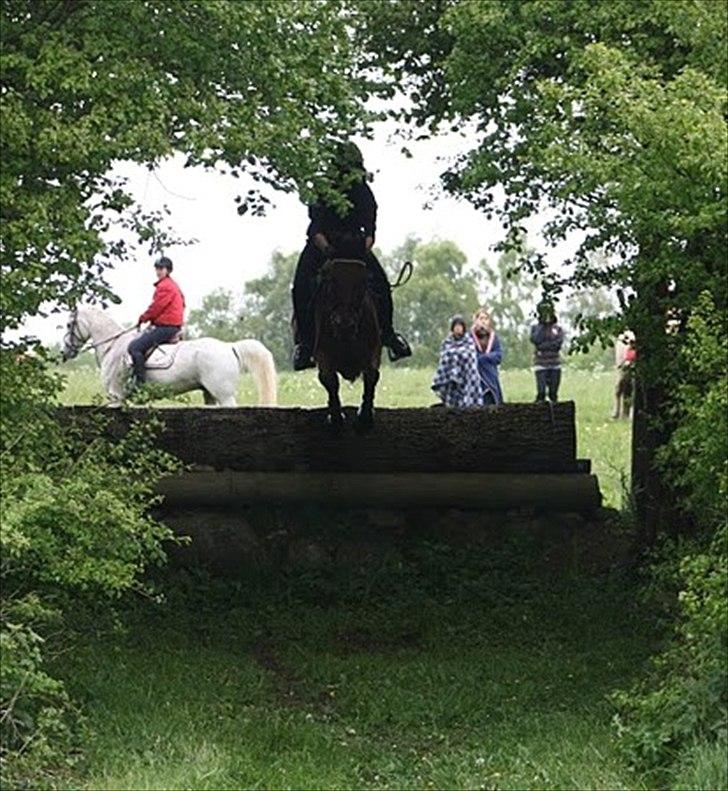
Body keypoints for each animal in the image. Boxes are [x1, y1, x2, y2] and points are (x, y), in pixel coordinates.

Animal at [62, 308, 278, 408]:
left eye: (68, 325)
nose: (65, 352)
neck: (112, 345)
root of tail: (229, 346)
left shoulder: (115, 396)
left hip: (224, 395)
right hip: (210, 395)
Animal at [312, 256, 382, 430]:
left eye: (361, 286)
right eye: (331, 283)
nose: (344, 325)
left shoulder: (374, 349)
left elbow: (371, 375)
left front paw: (365, 415)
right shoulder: (322, 353)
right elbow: (329, 379)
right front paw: (336, 416)